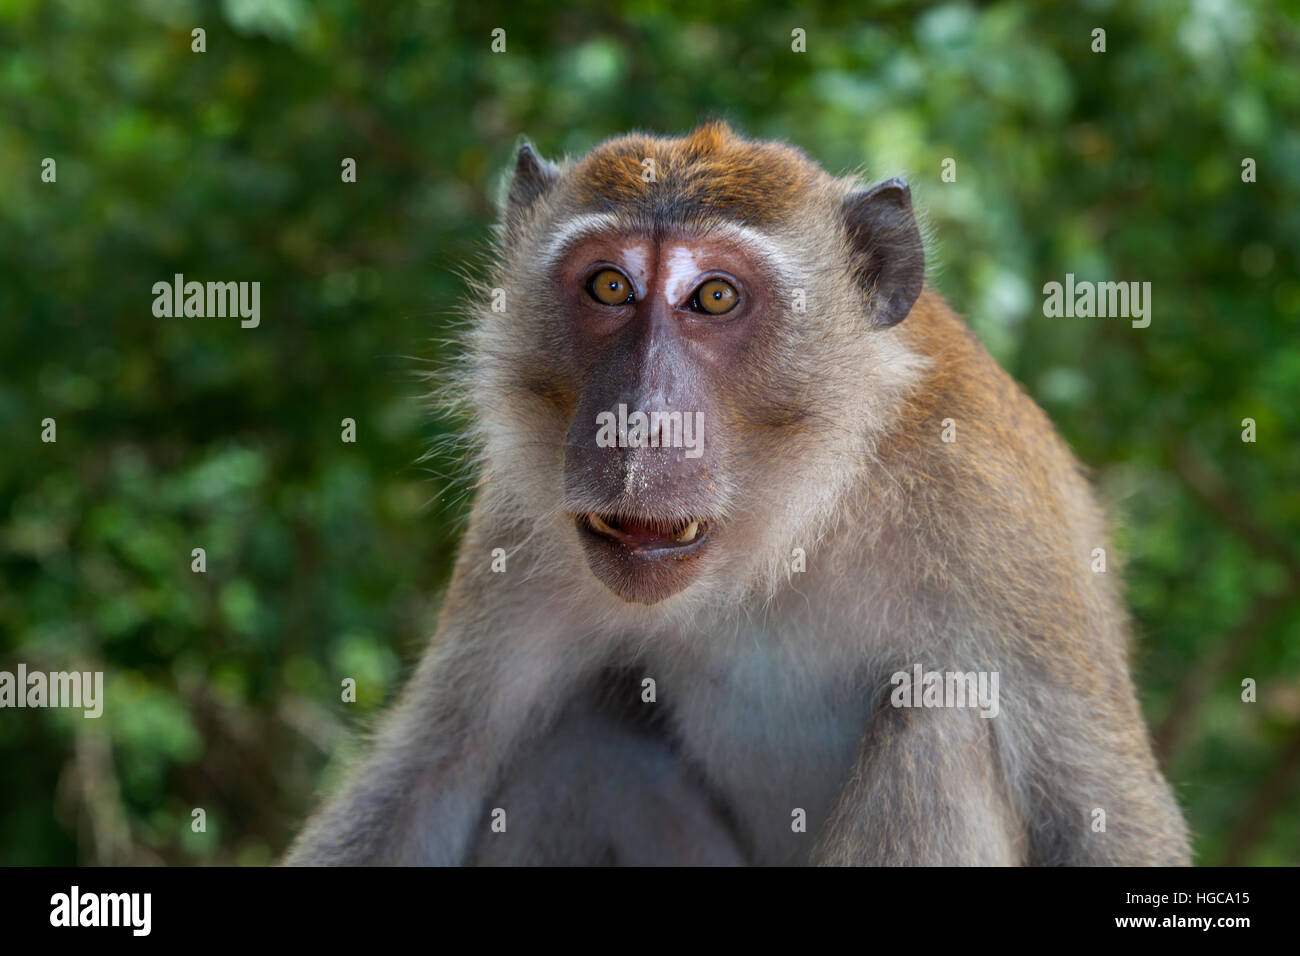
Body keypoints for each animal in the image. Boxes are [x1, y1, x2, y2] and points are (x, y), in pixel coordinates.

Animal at [286, 121, 1191, 866]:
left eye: (715, 296)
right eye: (609, 286)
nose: (636, 424)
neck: (794, 527)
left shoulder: (988, 513)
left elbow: (1104, 821)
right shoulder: (521, 510)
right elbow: (435, 769)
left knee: (937, 718)